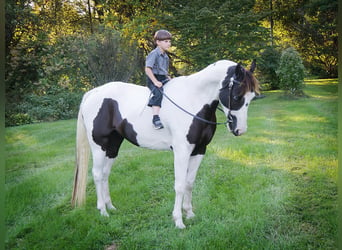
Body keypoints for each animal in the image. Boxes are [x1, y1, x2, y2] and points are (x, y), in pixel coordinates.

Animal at [72, 59, 260, 229]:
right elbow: (179, 185)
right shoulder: (182, 151)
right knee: (97, 174)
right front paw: (178, 221)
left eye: (252, 97)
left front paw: (189, 213)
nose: (240, 130)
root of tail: (93, 93)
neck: (193, 100)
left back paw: (110, 206)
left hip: (113, 146)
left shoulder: (199, 150)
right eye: (236, 96)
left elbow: (189, 183)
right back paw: (103, 211)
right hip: (99, 146)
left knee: (105, 174)